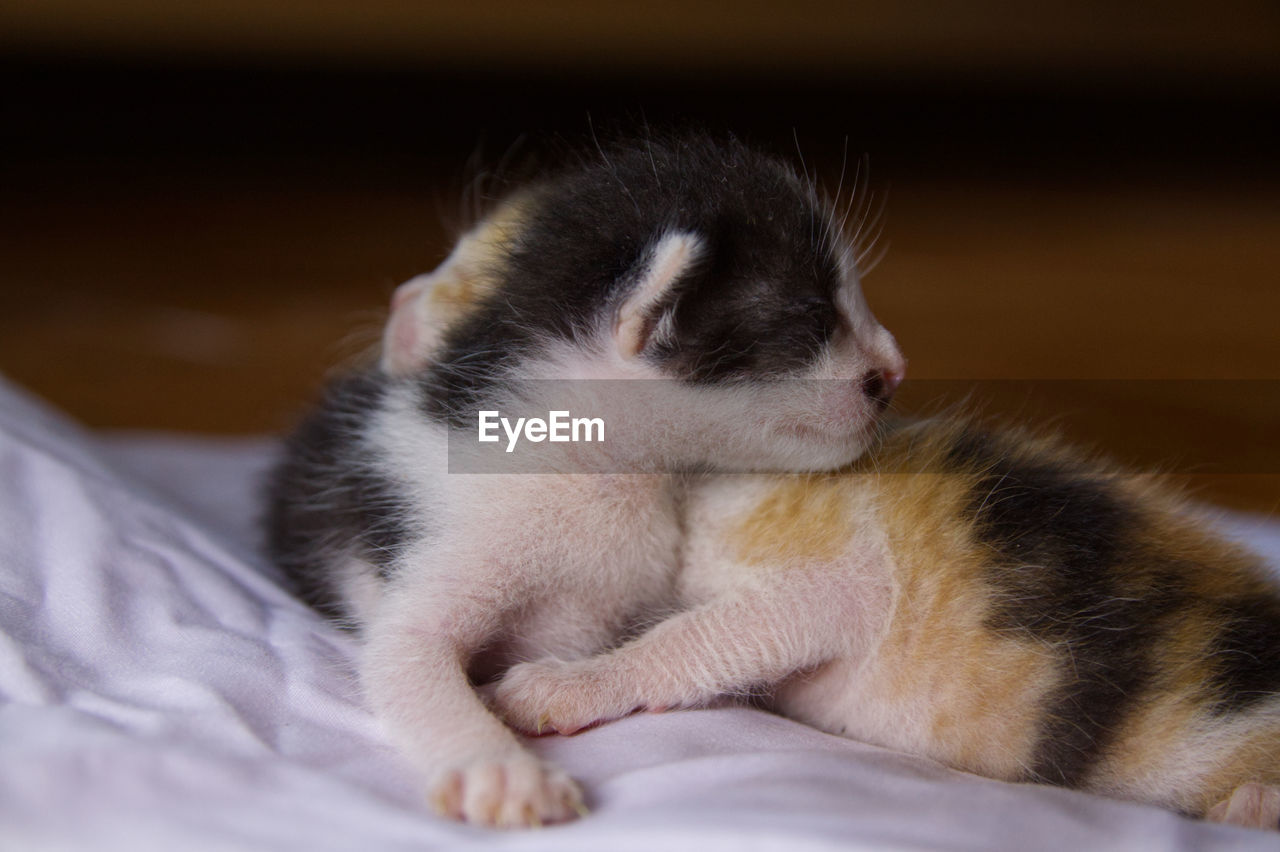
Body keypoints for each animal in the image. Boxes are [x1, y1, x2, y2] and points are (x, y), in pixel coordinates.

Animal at [264, 136, 906, 823]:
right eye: (814, 317)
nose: (896, 371)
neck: (591, 464)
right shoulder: (441, 537)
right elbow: (408, 653)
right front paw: (495, 768)